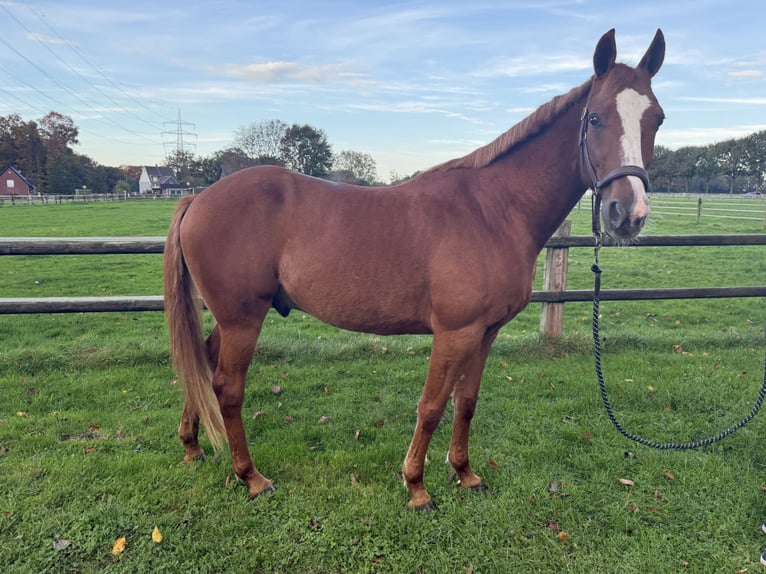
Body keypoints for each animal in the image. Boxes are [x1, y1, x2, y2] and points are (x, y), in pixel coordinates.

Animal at [166, 29, 664, 510]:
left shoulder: (485, 333)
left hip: (234, 318)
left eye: (656, 119)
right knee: (227, 388)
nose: (629, 213)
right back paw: (251, 477)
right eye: (595, 118)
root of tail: (198, 198)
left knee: (202, 365)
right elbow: (431, 407)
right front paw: (417, 487)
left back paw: (192, 444)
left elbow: (466, 403)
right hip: (243, 319)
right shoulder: (454, 333)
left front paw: (465, 474)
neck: (492, 210)